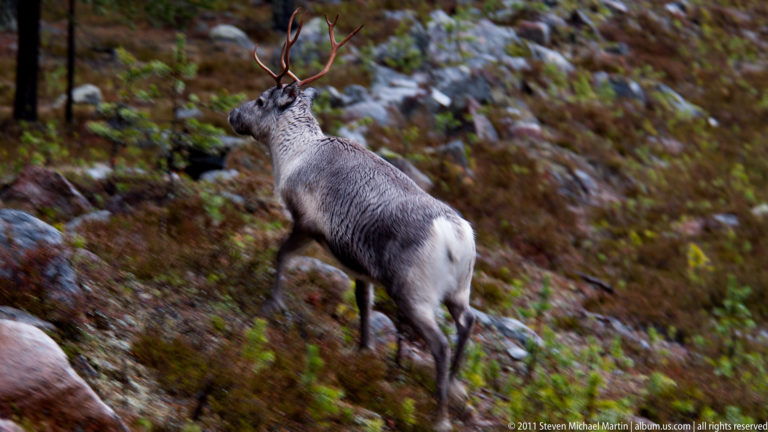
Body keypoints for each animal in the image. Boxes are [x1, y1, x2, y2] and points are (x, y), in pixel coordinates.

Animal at [228, 9, 476, 431]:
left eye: (261, 99)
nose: (232, 114)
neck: (293, 155)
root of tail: (457, 239)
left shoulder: (308, 223)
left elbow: (281, 256)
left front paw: (270, 304)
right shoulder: (361, 266)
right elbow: (363, 304)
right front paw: (362, 350)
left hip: (413, 292)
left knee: (441, 343)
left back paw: (440, 414)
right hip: (458, 291)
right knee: (469, 322)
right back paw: (458, 387)